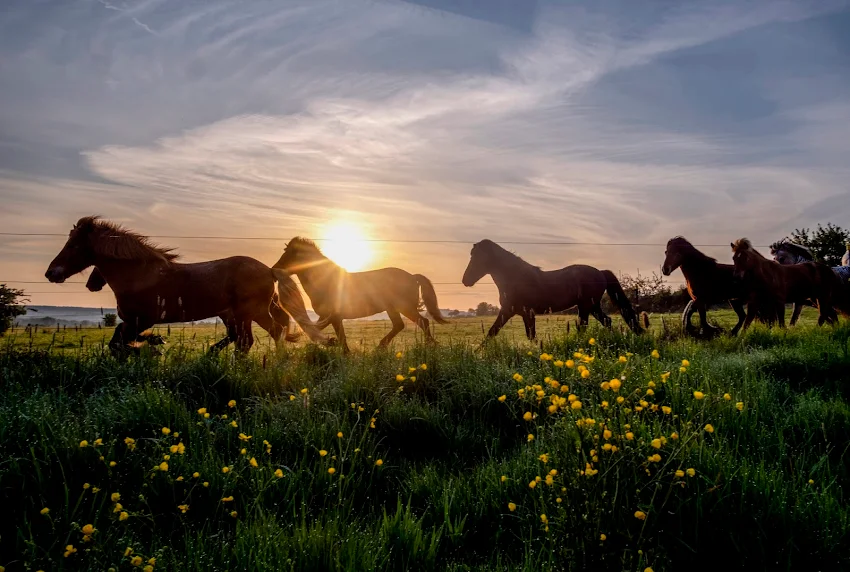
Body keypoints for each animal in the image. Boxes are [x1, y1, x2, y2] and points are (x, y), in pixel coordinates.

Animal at [43, 217, 330, 356]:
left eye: (73, 246)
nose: (51, 273)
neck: (139, 275)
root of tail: (269, 270)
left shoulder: (141, 319)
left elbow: (120, 344)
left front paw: (151, 347)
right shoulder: (131, 322)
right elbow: (118, 343)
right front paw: (152, 345)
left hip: (250, 312)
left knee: (263, 335)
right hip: (242, 315)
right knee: (252, 338)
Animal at [274, 237, 448, 354]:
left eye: (289, 254)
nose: (274, 269)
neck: (325, 281)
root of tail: (412, 276)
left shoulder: (333, 316)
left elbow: (333, 333)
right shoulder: (327, 316)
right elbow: (317, 329)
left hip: (405, 308)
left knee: (423, 322)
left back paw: (431, 345)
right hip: (392, 309)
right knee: (400, 325)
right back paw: (381, 347)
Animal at [460, 238, 640, 340]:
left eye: (476, 257)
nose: (465, 280)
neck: (516, 279)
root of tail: (601, 272)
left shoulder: (514, 311)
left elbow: (493, 332)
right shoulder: (518, 313)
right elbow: (501, 333)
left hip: (586, 306)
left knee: (584, 325)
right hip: (593, 306)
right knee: (606, 321)